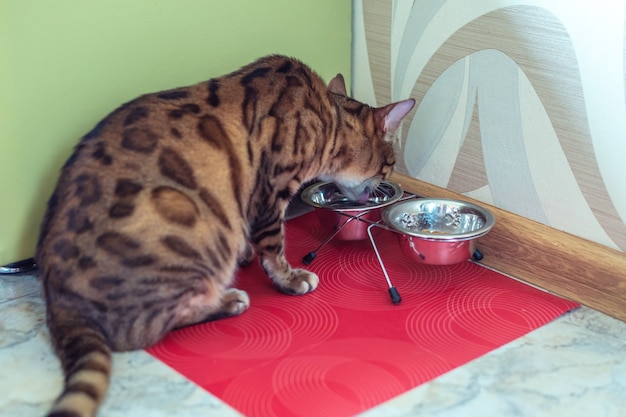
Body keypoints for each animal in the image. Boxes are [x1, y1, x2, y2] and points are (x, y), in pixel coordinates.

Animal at [35, 53, 414, 414]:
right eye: (390, 165)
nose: (385, 183)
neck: (327, 118)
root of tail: (60, 303)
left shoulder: (246, 200)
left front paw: (247, 254)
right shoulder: (270, 193)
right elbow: (274, 248)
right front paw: (290, 278)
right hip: (190, 223)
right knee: (144, 330)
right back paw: (228, 301)